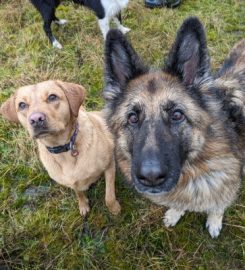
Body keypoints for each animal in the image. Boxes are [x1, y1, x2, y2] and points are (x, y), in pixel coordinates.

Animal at [0, 81, 121, 216]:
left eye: (52, 97)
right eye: (22, 105)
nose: (36, 119)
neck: (64, 148)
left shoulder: (109, 165)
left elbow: (109, 197)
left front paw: (115, 209)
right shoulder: (72, 182)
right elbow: (78, 193)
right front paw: (83, 204)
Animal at [103, 16, 245, 237]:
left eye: (177, 115)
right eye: (133, 118)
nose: (151, 177)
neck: (196, 167)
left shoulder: (229, 184)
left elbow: (218, 206)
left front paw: (214, 221)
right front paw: (175, 213)